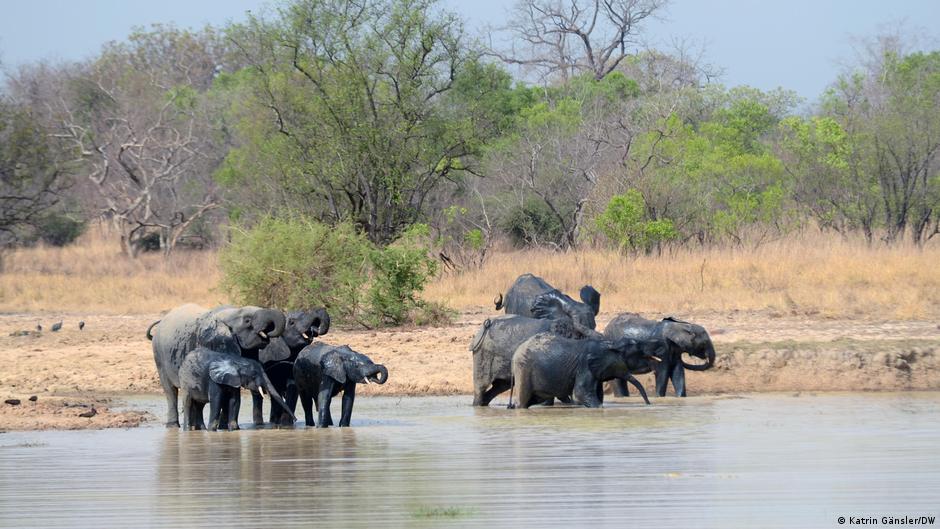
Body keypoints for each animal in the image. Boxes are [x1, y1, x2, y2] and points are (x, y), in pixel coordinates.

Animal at [148, 303, 286, 427]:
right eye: (247, 320)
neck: (231, 313)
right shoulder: (211, 343)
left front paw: (224, 427)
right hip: (159, 356)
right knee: (170, 391)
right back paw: (175, 426)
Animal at [509, 333, 664, 409]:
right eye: (637, 346)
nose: (648, 404)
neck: (610, 344)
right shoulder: (584, 366)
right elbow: (580, 393)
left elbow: (597, 394)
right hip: (523, 368)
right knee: (523, 401)